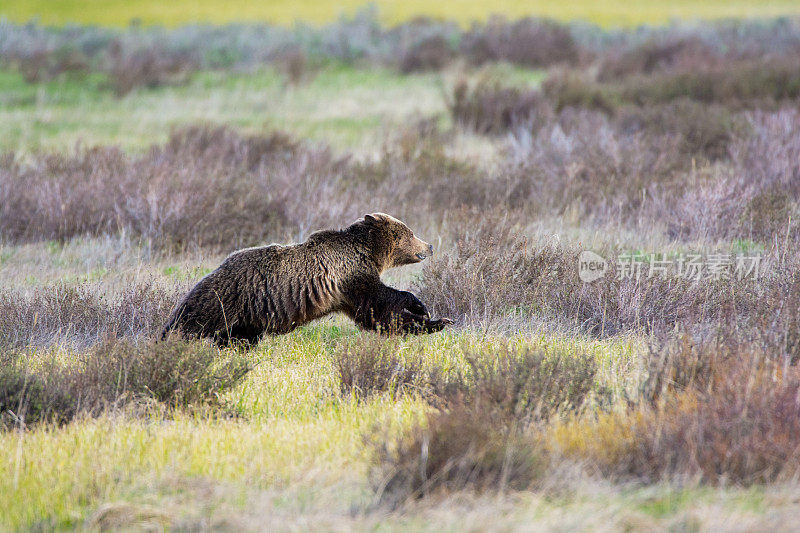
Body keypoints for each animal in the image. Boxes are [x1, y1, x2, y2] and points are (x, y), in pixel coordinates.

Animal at [161, 213, 450, 344]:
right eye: (410, 233)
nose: (429, 246)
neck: (367, 252)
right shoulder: (350, 276)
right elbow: (380, 303)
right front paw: (423, 310)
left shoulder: (344, 293)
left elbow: (377, 316)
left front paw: (435, 320)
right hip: (227, 298)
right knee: (191, 322)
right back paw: (169, 338)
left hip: (246, 318)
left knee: (238, 338)